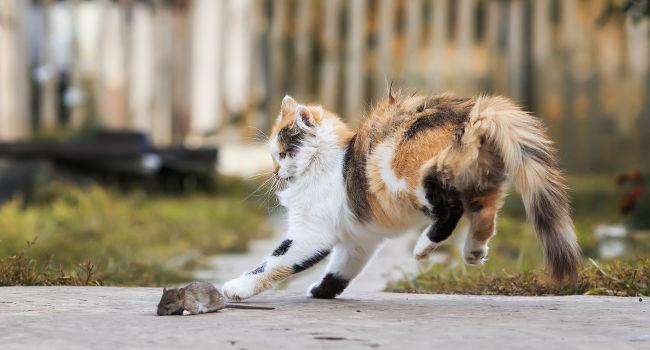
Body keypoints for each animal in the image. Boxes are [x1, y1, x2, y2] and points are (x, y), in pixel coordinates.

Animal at [221, 91, 576, 300]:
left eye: (282, 153)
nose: (275, 172)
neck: (328, 161)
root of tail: (472, 111)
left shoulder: (310, 232)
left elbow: (274, 261)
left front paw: (237, 287)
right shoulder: (359, 240)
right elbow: (342, 268)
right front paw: (322, 291)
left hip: (408, 173)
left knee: (451, 209)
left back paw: (424, 246)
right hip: (480, 179)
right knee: (485, 211)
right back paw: (473, 250)